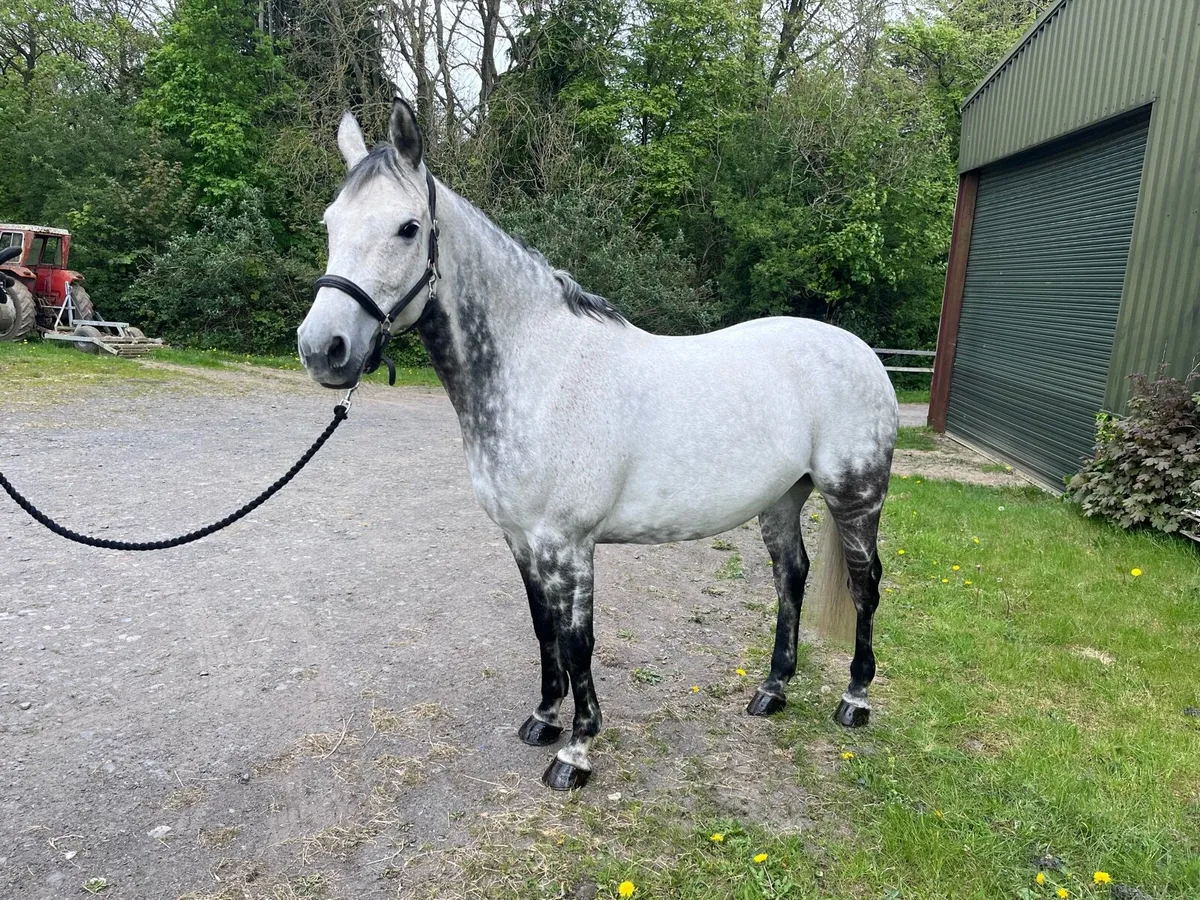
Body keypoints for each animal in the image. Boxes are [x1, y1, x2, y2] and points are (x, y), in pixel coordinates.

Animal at [297, 99, 898, 791]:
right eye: (330, 222)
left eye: (407, 227)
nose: (323, 349)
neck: (541, 370)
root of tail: (862, 353)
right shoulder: (523, 540)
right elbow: (544, 630)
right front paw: (543, 720)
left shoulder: (569, 543)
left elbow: (578, 639)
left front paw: (576, 751)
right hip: (782, 499)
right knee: (790, 578)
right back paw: (772, 691)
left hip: (854, 496)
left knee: (865, 586)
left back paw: (855, 699)